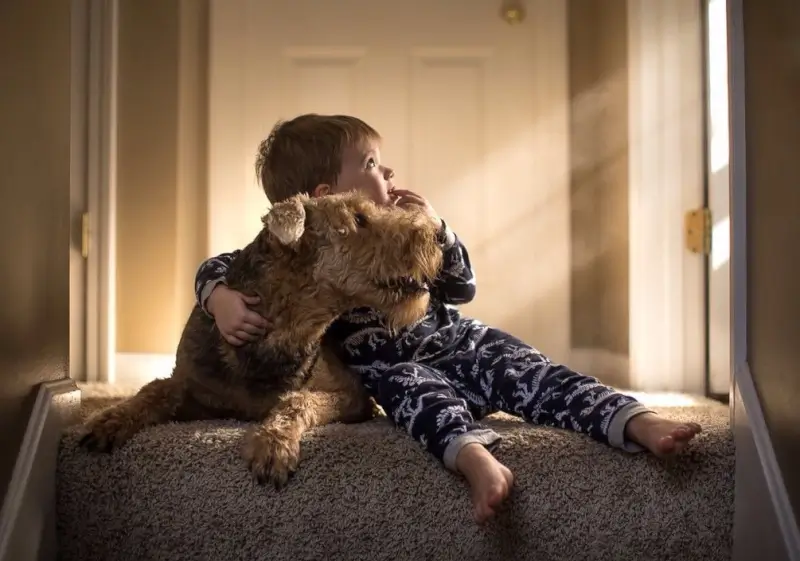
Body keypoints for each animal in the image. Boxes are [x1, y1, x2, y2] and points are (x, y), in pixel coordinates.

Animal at [80, 191, 444, 486]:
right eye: (359, 218)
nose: (438, 235)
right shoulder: (195, 388)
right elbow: (154, 389)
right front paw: (105, 422)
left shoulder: (351, 395)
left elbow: (297, 400)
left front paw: (272, 446)